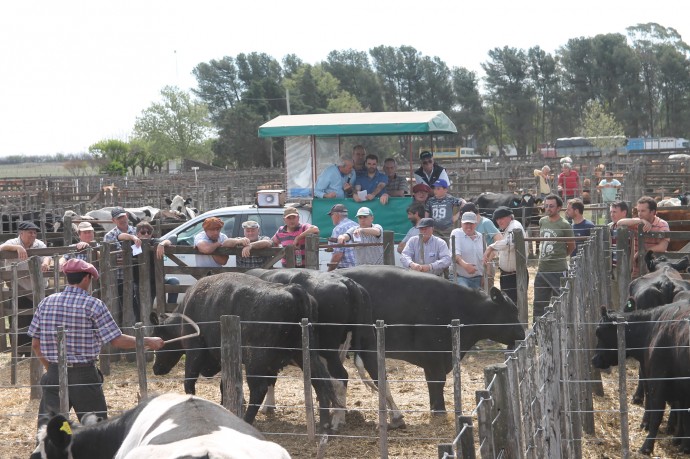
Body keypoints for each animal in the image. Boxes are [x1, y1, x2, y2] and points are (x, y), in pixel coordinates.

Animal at [149, 274, 338, 434]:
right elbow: (224, 386)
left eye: (159, 338)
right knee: (321, 381)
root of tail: (293, 289)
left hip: (257, 360)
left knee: (259, 389)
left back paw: (247, 421)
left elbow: (189, 383)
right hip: (306, 355)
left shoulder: (195, 350)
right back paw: (324, 425)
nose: (155, 369)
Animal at [245, 268, 404, 430]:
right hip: (368, 341)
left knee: (341, 376)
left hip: (328, 350)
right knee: (378, 374)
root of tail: (348, 283)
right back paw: (396, 417)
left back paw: (337, 421)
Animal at [338, 264, 520, 416]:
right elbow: (438, 380)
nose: (522, 334)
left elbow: (431, 381)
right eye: (512, 312)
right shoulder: (433, 353)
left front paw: (434, 406)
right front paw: (439, 410)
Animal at [588, 306, 688, 456]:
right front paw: (681, 442)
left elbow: (657, 413)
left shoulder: (658, 380)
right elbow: (683, 413)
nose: (594, 359)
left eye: (599, 332)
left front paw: (647, 446)